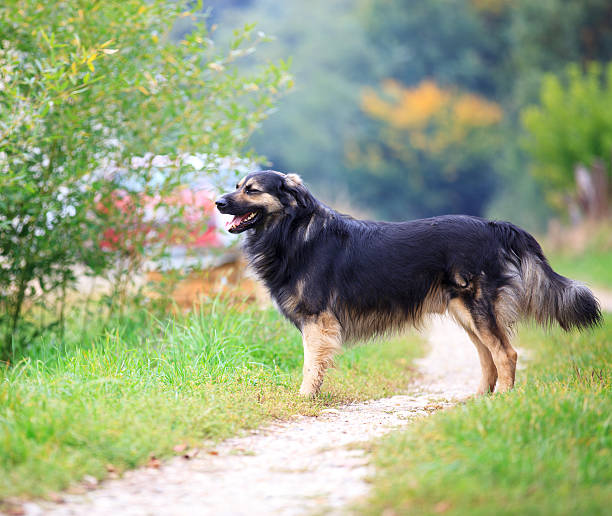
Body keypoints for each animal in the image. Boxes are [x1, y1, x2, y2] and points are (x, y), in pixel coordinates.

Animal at [216, 171, 604, 398]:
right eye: (236, 187)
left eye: (251, 190)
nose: (218, 202)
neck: (294, 231)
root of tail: (494, 226)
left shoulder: (317, 322)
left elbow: (311, 366)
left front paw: (304, 397)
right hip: (466, 314)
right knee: (487, 357)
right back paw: (480, 397)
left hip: (478, 309)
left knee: (506, 354)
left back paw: (505, 398)